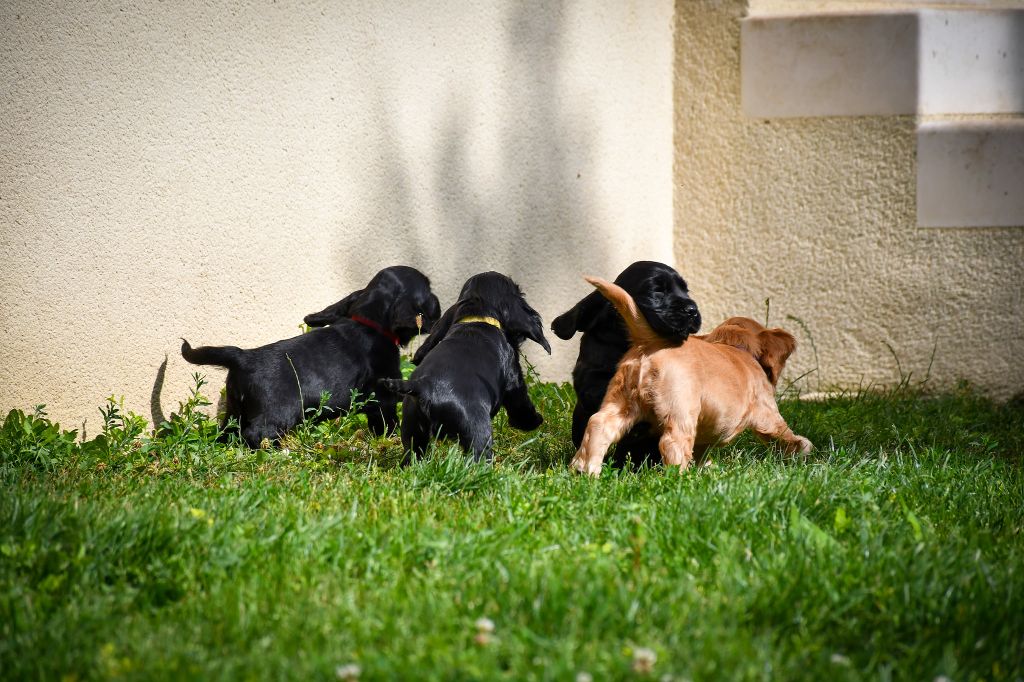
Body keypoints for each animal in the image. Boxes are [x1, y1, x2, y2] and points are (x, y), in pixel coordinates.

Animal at [378, 270, 552, 462]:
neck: (478, 317)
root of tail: (422, 386)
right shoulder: (514, 379)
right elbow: (520, 403)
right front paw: (535, 420)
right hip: (477, 429)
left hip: (413, 428)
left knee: (412, 454)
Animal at [573, 274, 811, 473]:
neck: (737, 347)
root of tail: (649, 342)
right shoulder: (765, 410)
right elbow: (782, 432)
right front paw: (802, 448)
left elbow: (702, 451)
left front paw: (705, 467)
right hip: (680, 408)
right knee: (671, 443)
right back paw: (680, 477)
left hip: (621, 400)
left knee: (598, 424)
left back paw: (585, 470)